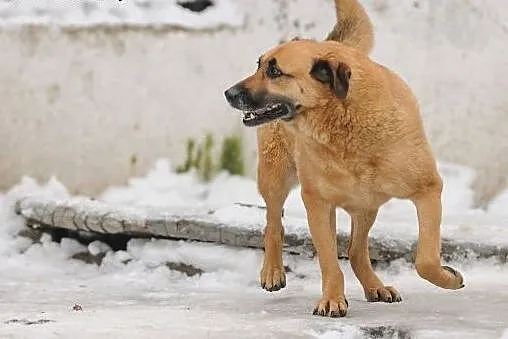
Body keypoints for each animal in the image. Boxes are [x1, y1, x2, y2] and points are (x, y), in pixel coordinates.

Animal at [224, 0, 462, 318]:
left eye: (274, 71)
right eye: (259, 66)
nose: (228, 93)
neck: (342, 117)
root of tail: (332, 44)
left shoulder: (428, 190)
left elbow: (425, 260)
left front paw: (450, 278)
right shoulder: (317, 203)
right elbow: (328, 262)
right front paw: (332, 299)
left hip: (366, 206)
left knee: (356, 251)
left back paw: (375, 286)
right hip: (275, 176)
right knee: (273, 224)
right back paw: (272, 272)